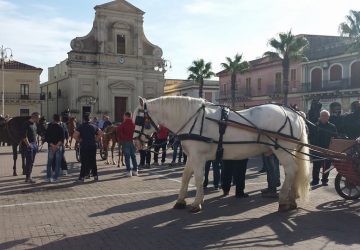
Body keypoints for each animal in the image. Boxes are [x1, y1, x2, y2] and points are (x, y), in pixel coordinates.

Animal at [132, 96, 310, 213]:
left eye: (139, 119)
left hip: (282, 150)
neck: (193, 119)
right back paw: (292, 199)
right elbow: (185, 176)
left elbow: (198, 178)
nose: (136, 143)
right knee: (295, 171)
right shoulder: (191, 156)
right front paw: (180, 200)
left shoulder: (198, 157)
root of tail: (293, 114)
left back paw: (284, 200)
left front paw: (196, 203)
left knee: (291, 170)